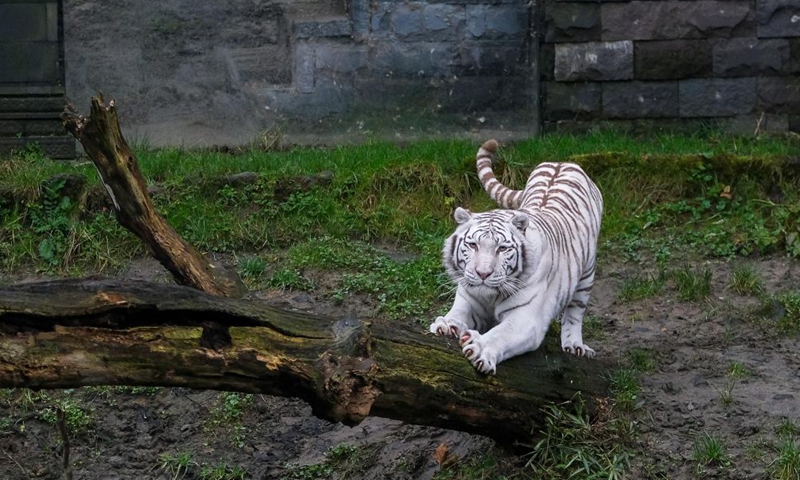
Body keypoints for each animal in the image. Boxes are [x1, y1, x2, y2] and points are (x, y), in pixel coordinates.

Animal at [429, 139, 603, 374]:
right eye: (473, 245)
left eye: (502, 249)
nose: (483, 273)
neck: (490, 297)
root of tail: (563, 162)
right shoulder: (468, 300)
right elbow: (457, 313)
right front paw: (447, 324)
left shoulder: (525, 319)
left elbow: (501, 334)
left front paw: (479, 347)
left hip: (587, 274)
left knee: (575, 313)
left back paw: (575, 345)